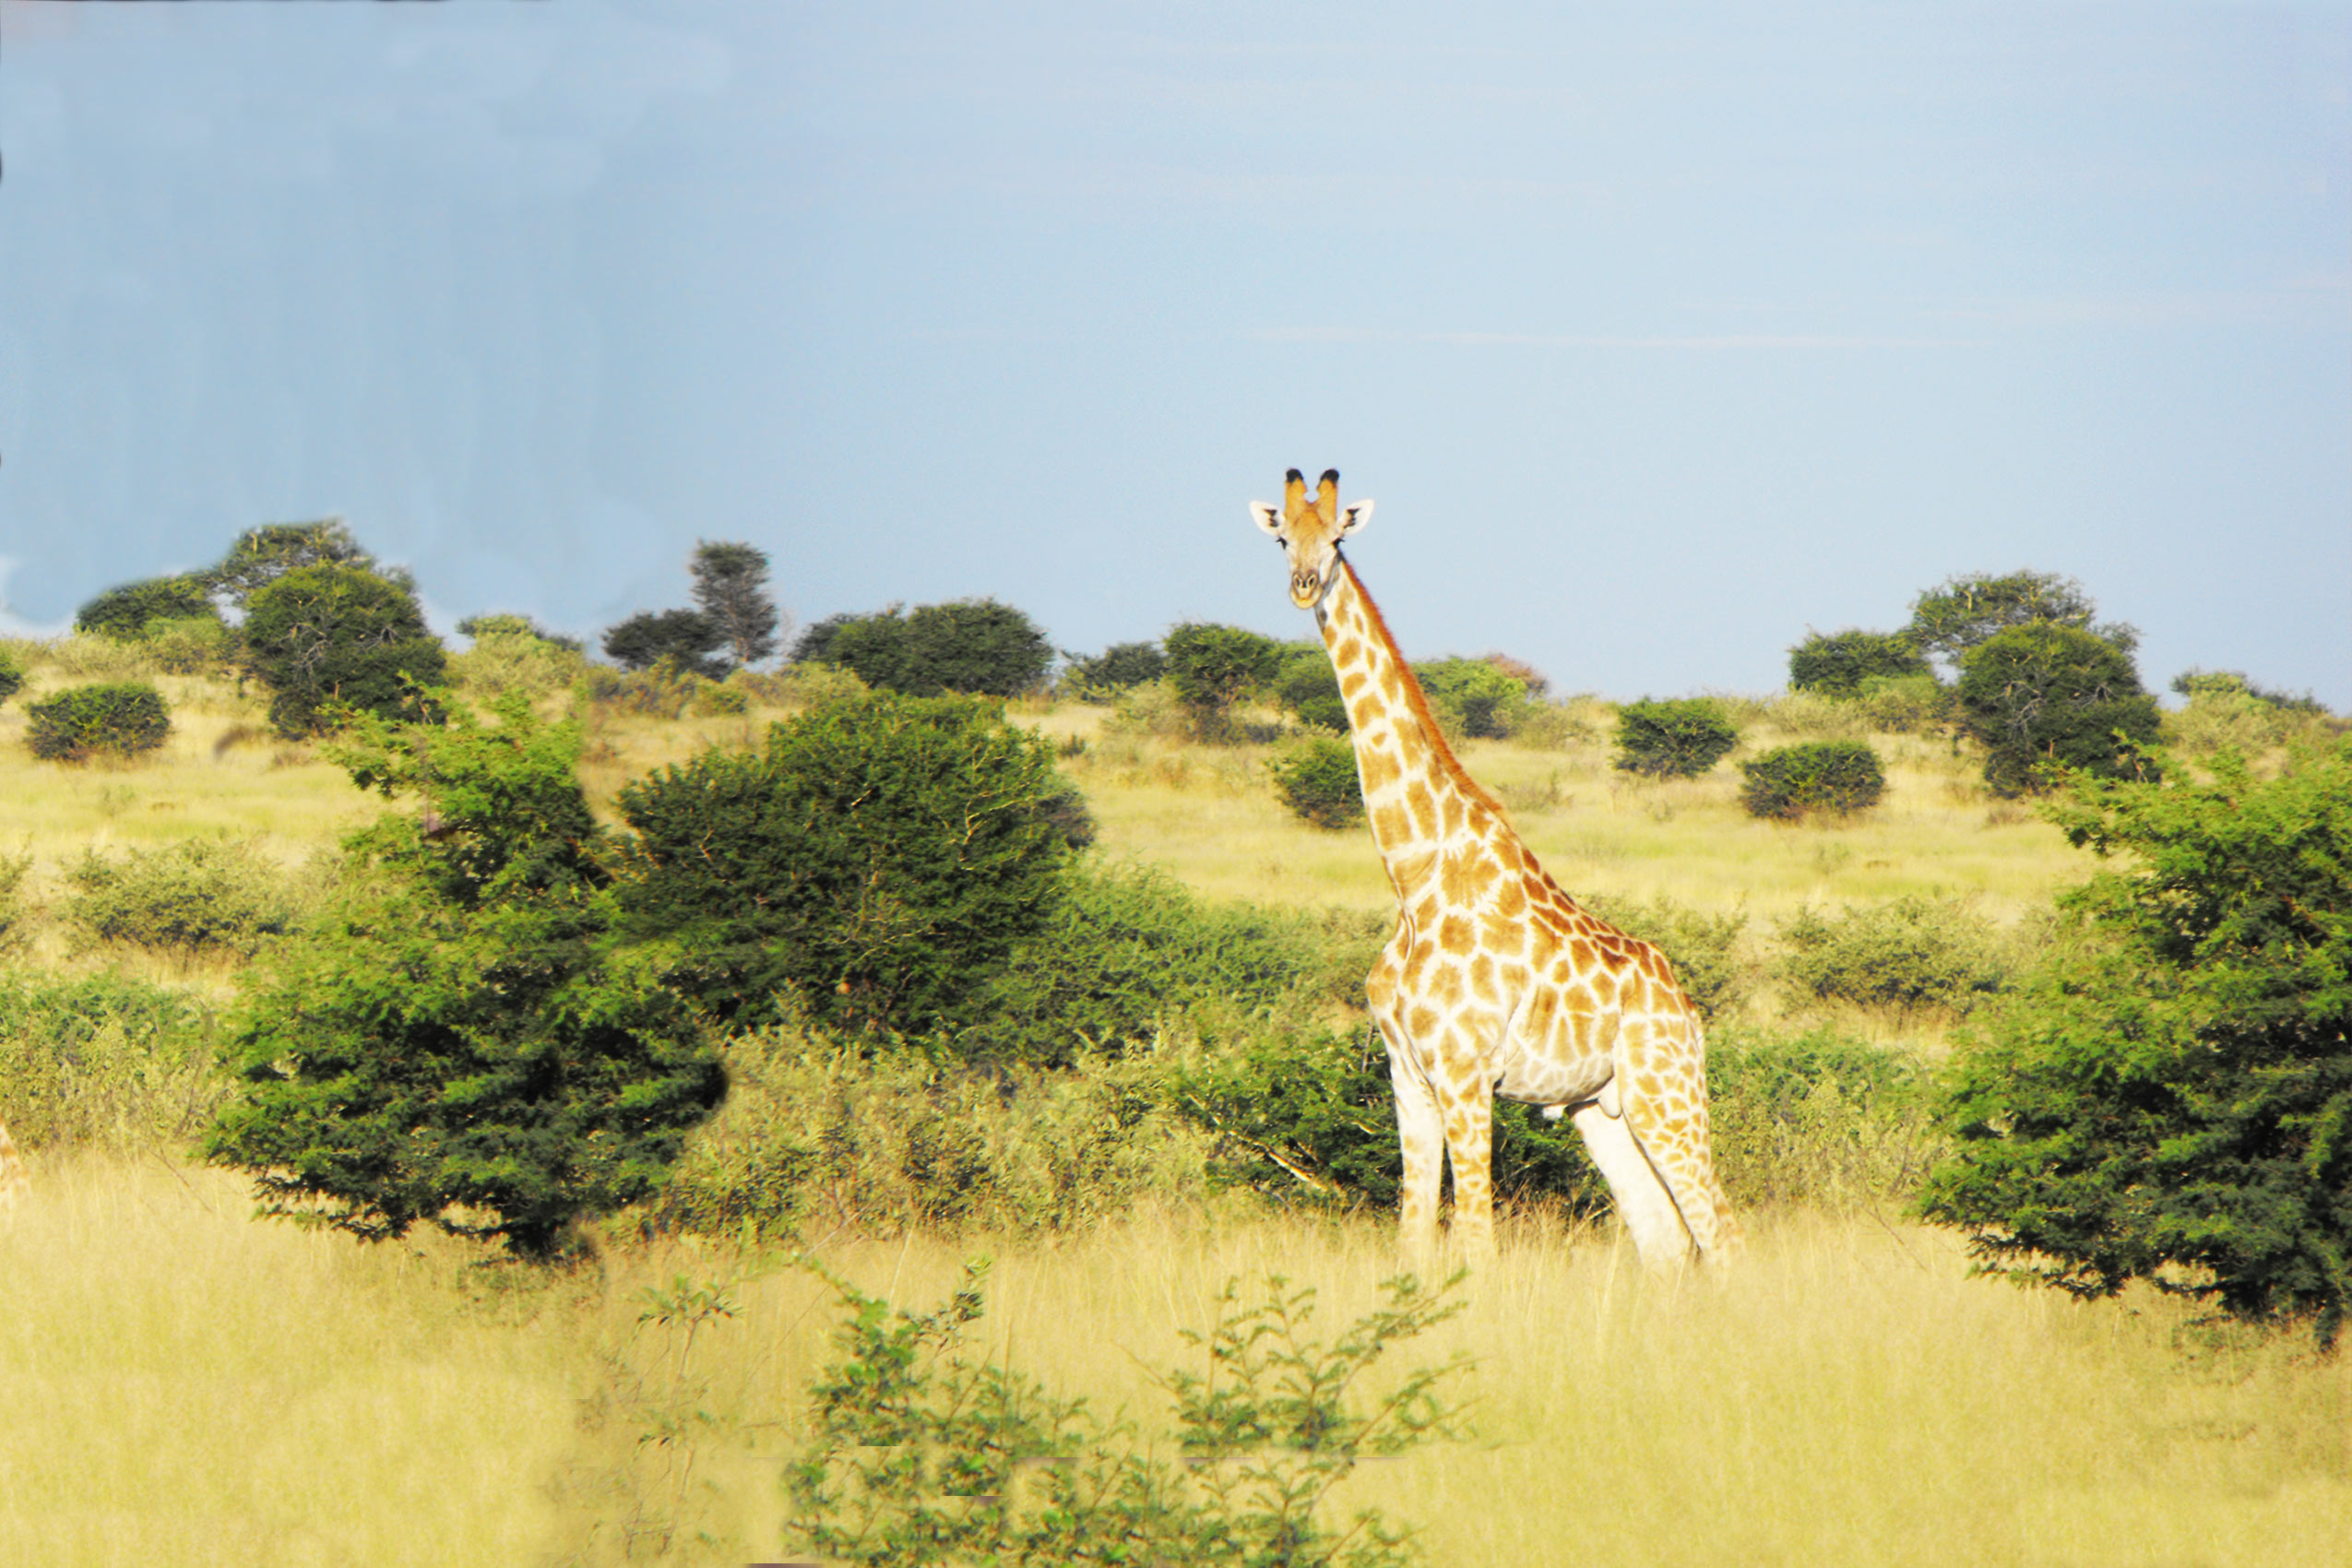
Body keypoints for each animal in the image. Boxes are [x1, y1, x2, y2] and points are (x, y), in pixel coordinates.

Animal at [1251, 472, 1750, 1269]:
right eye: (1280, 538)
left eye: (1336, 539)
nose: (1303, 586)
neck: (1413, 876)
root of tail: (1688, 1007)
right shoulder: (1408, 1076)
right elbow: (1413, 1235)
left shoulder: (1464, 1073)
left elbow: (1477, 1239)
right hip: (1600, 1108)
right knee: (1666, 1240)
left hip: (1667, 1092)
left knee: (1724, 1236)